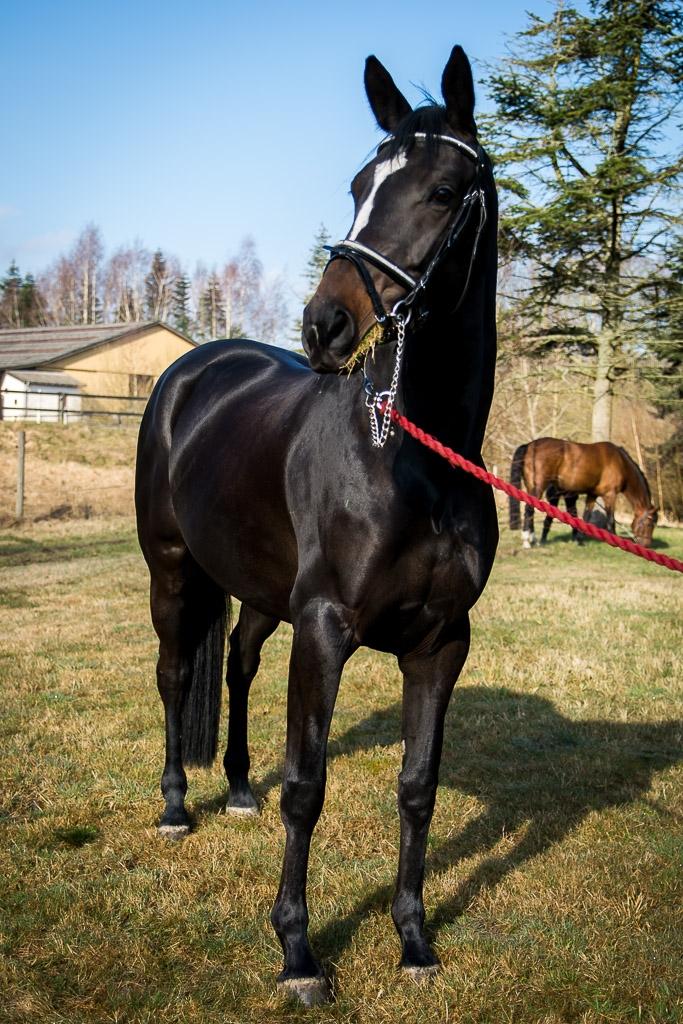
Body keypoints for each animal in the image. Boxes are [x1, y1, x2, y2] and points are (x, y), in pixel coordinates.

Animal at [135, 44, 497, 1003]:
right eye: (359, 184)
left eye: (443, 190)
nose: (325, 323)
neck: (410, 464)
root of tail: (191, 369)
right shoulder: (327, 629)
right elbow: (307, 785)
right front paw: (297, 953)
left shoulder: (440, 642)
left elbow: (417, 787)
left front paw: (413, 940)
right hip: (173, 569)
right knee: (175, 673)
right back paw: (177, 805)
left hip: (262, 598)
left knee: (235, 664)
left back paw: (234, 790)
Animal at [507, 440, 655, 552]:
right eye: (649, 523)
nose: (646, 546)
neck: (620, 462)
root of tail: (530, 445)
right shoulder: (610, 495)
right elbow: (611, 519)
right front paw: (615, 542)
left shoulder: (592, 495)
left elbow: (586, 517)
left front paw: (579, 540)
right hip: (538, 486)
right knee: (529, 510)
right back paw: (527, 541)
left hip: (531, 486)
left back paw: (533, 539)